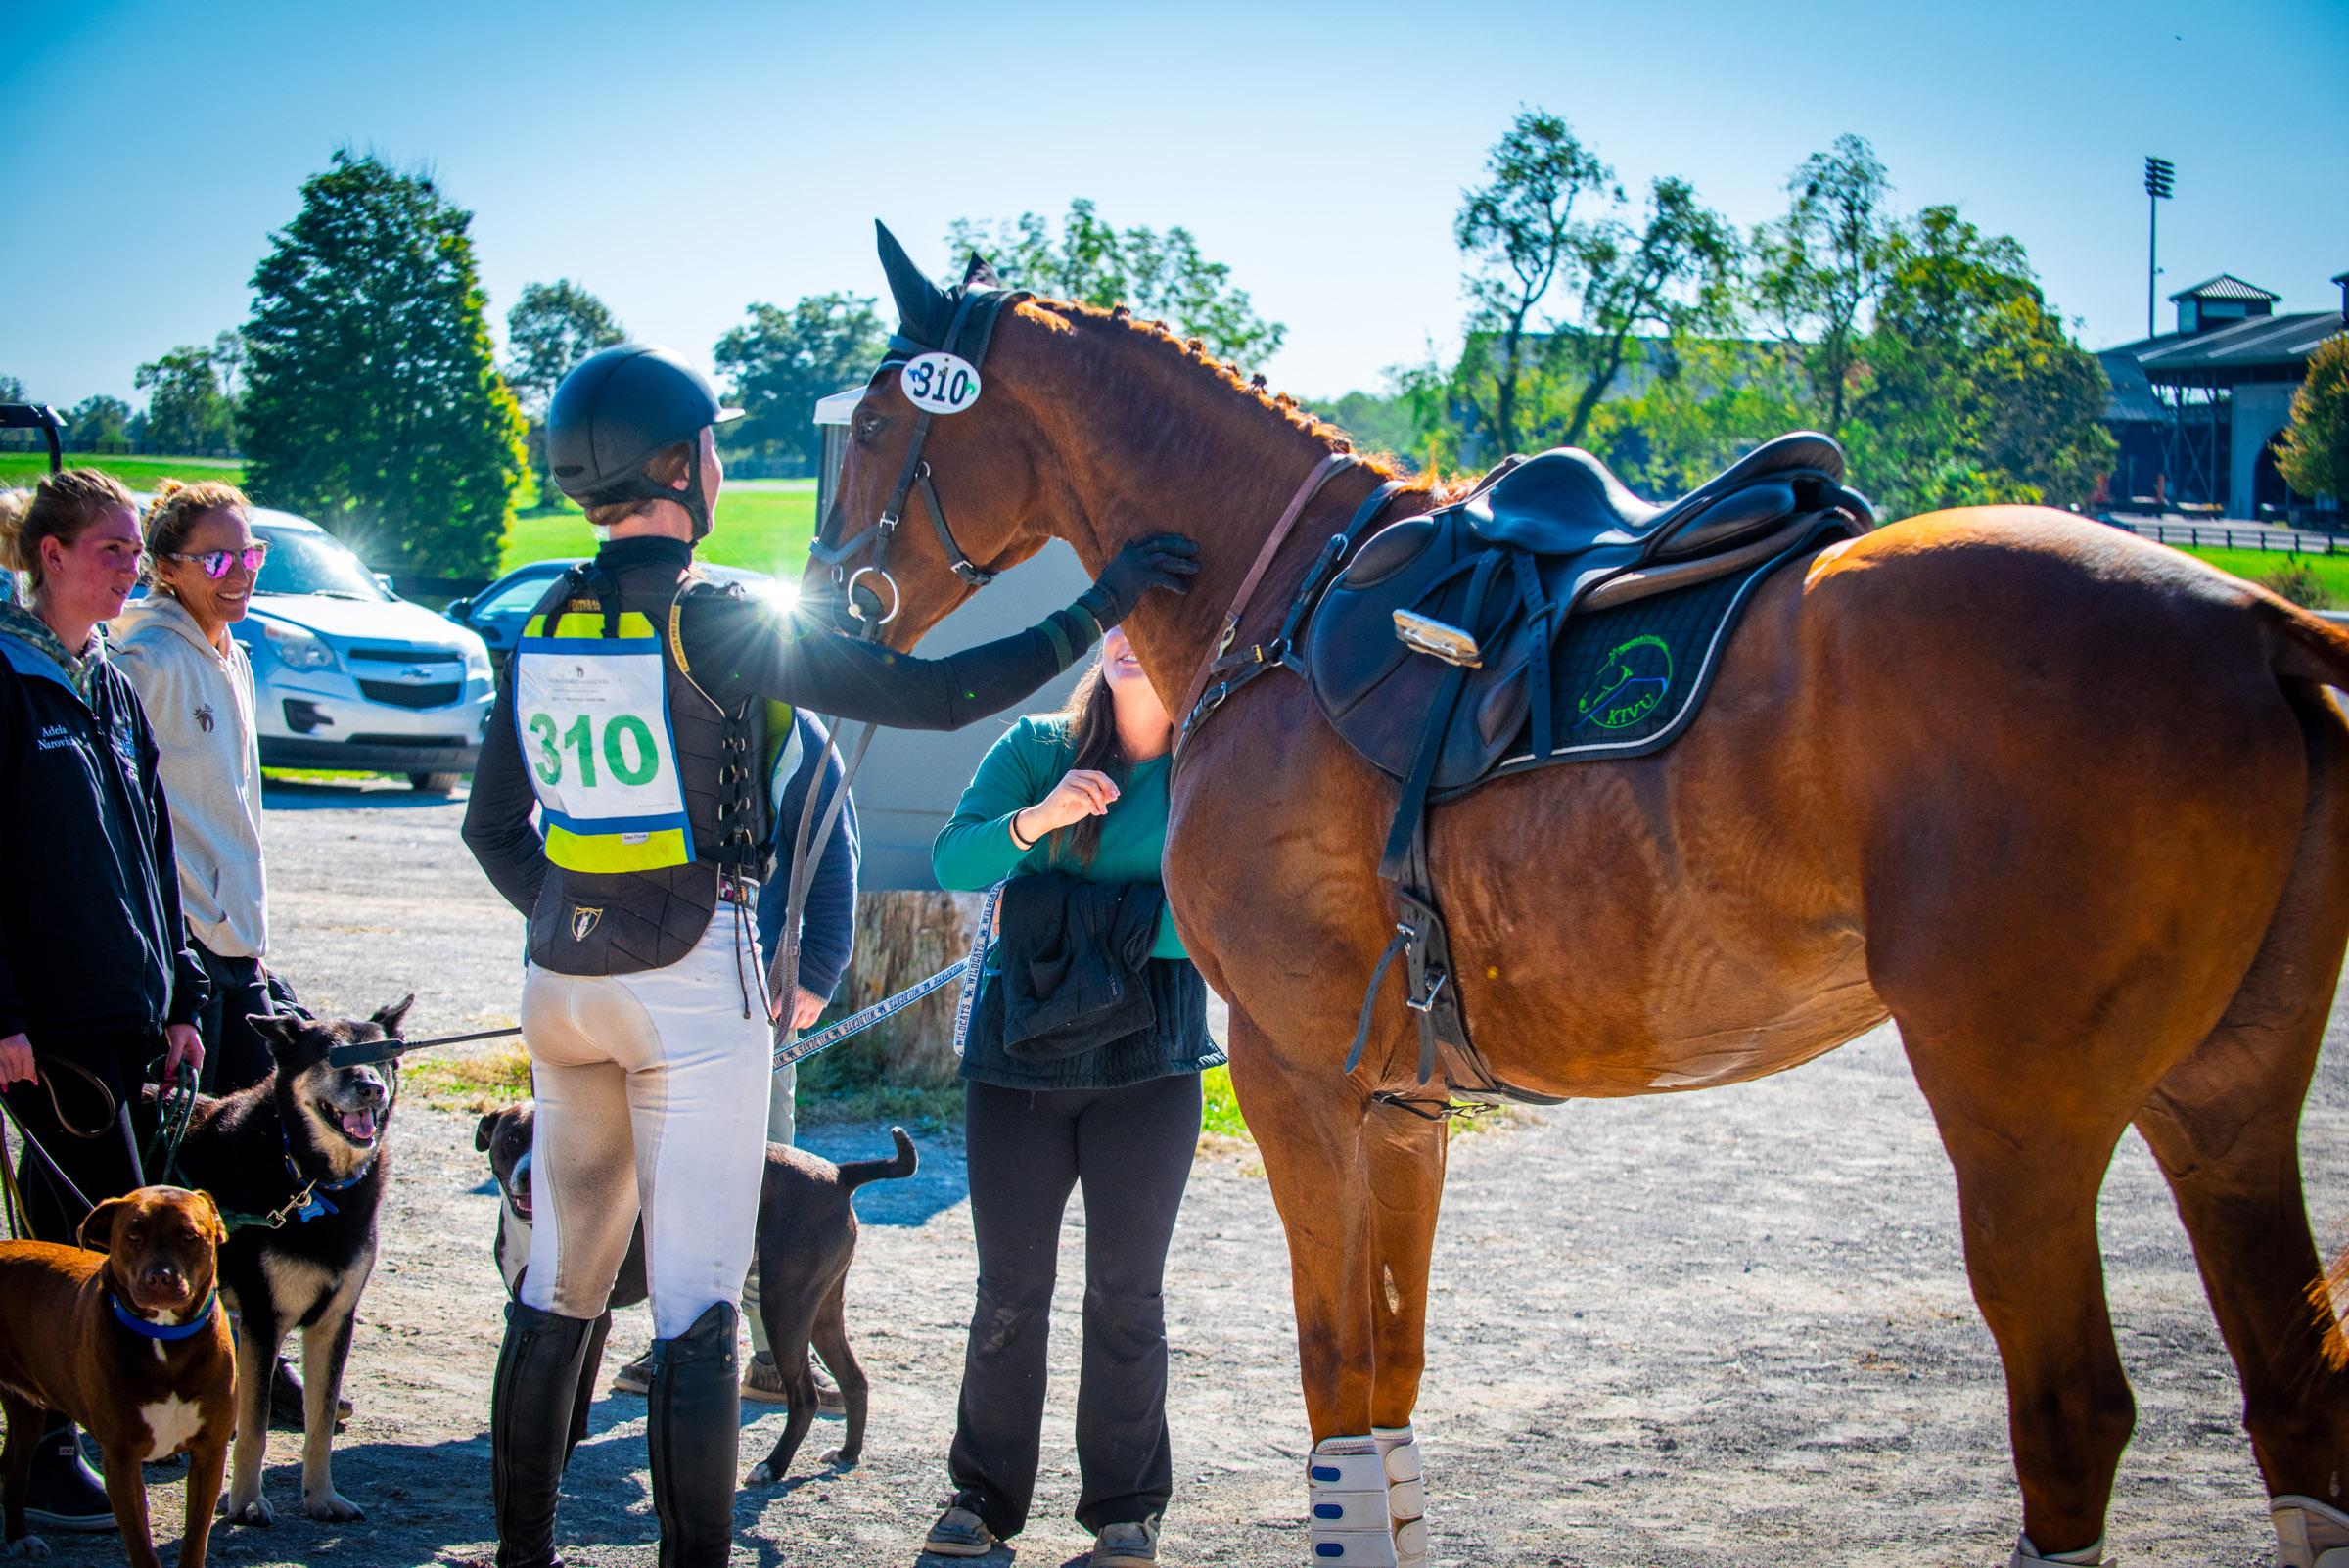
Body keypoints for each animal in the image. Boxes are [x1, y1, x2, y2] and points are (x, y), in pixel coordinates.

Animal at [0, 1186, 238, 1567]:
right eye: (132, 1236)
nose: (160, 1277)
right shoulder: (121, 1461)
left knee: (14, 1468)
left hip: (28, 1411)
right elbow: (140, 1545)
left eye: (189, 1236)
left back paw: (19, 1537)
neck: (164, 1339)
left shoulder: (209, 1453)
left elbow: (195, 1538)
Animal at [142, 997, 409, 1526]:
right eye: (331, 1057)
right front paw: (246, 1501)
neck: (309, 1179)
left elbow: (319, 1424)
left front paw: (322, 1497)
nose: (371, 1087)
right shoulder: (263, 1318)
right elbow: (256, 1426)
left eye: (383, 1056)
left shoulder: (334, 1321)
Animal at [476, 1102, 916, 1481]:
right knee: (855, 1380)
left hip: (784, 1308)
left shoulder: (593, 1322)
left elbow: (575, 1398)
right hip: (821, 1310)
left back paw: (772, 1468)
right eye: (513, 1138)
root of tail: (838, 1173)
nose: (531, 1176)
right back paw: (847, 1453)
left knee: (805, 1398)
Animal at [801, 231, 2349, 1568]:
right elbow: (1390, 1389)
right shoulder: (1403, 1102)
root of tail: (2251, 618)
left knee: (2074, 1410)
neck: (1284, 598)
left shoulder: (1299, 1077)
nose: (829, 598)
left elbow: (1335, 1375)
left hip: (2021, 1116)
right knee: (2296, 1383)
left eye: (872, 425)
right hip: (2221, 1101)